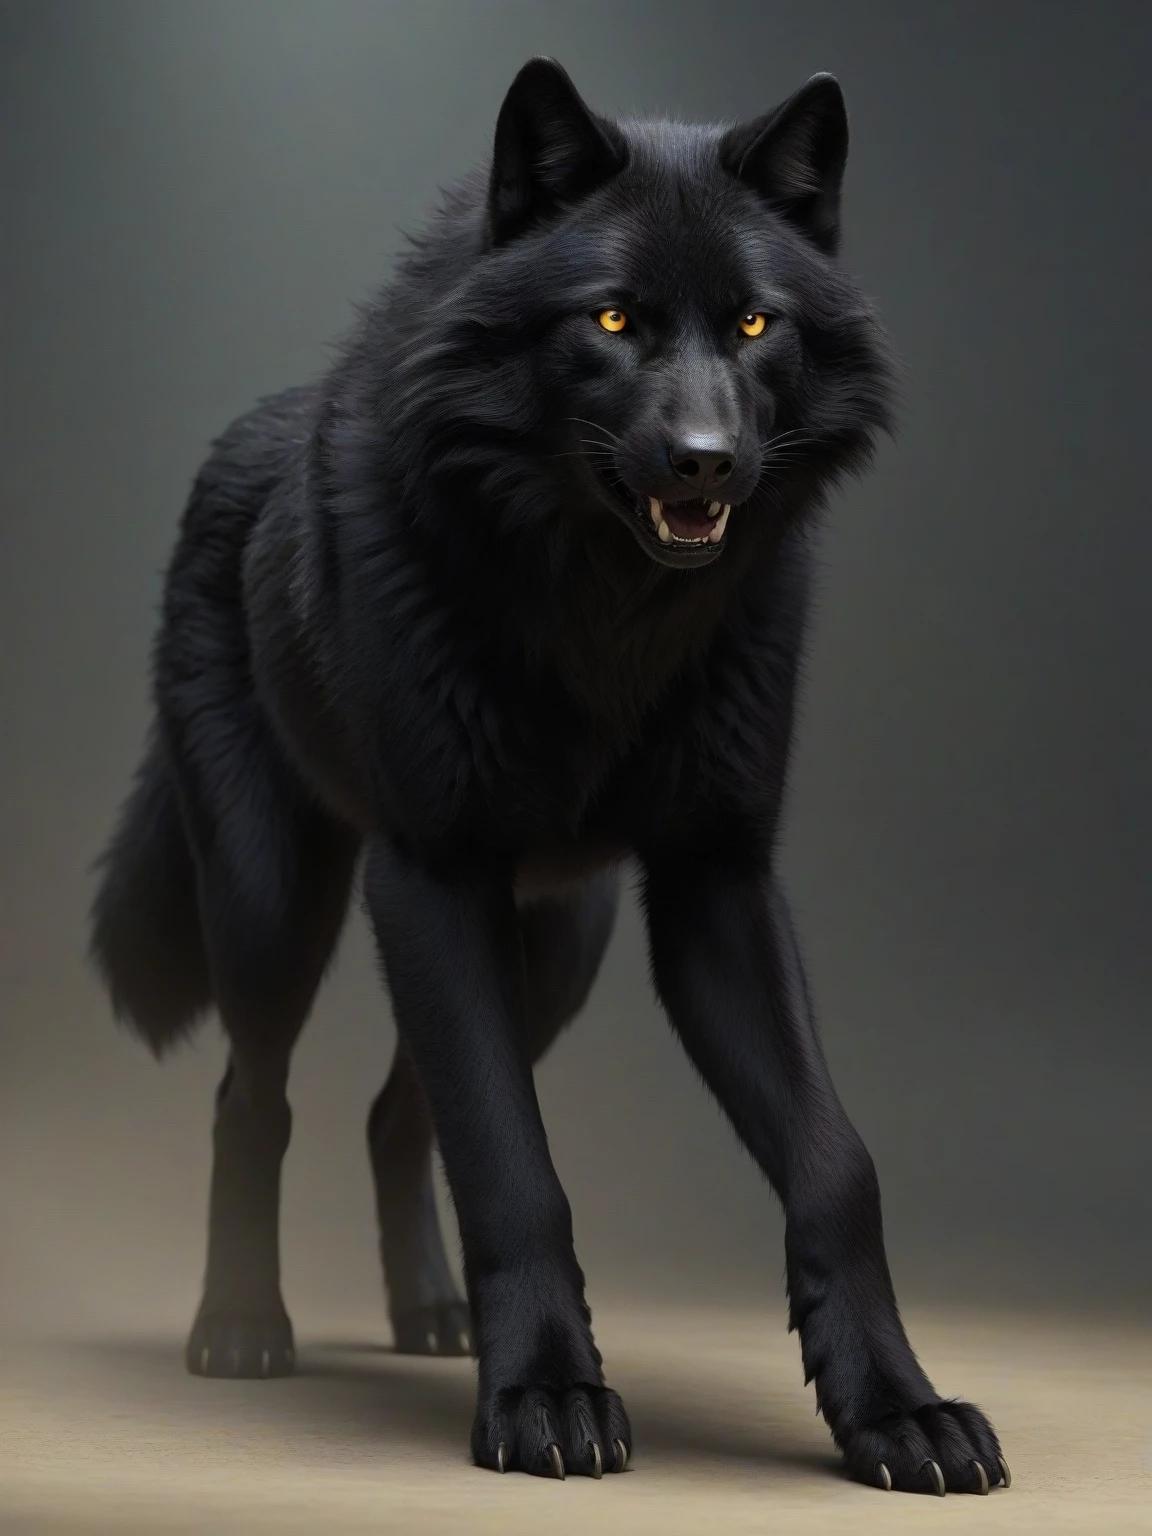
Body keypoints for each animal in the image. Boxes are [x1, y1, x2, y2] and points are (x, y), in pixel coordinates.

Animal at [90, 58, 1008, 1494]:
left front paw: (898, 1410)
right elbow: (514, 1167)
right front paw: (548, 1400)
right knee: (257, 1096)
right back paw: (241, 1327)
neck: (608, 621)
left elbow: (835, 1163)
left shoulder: (715, 884)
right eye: (614, 317)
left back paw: (430, 1317)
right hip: (276, 905)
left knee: (392, 1113)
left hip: (557, 948)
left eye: (755, 323)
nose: (703, 460)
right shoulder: (431, 875)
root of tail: (249, 429)